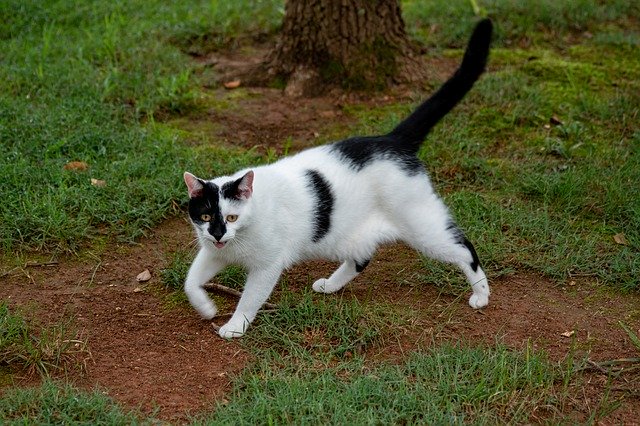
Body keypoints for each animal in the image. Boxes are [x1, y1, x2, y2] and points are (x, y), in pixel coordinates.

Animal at [182, 19, 492, 340]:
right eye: (206, 216)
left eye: (231, 217)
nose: (219, 234)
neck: (240, 236)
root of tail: (393, 140)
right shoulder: (213, 252)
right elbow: (189, 282)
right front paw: (206, 308)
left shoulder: (267, 266)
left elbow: (249, 298)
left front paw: (235, 325)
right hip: (346, 234)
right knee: (361, 258)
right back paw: (330, 285)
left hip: (423, 228)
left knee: (464, 247)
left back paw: (481, 294)